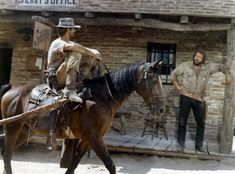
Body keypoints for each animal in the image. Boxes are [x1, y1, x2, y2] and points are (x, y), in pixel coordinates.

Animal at [0, 60, 163, 173]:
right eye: (154, 80)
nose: (161, 109)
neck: (101, 99)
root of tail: (11, 90)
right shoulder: (94, 137)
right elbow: (110, 165)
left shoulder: (87, 139)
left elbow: (73, 165)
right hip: (12, 128)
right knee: (7, 155)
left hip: (25, 131)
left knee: (6, 153)